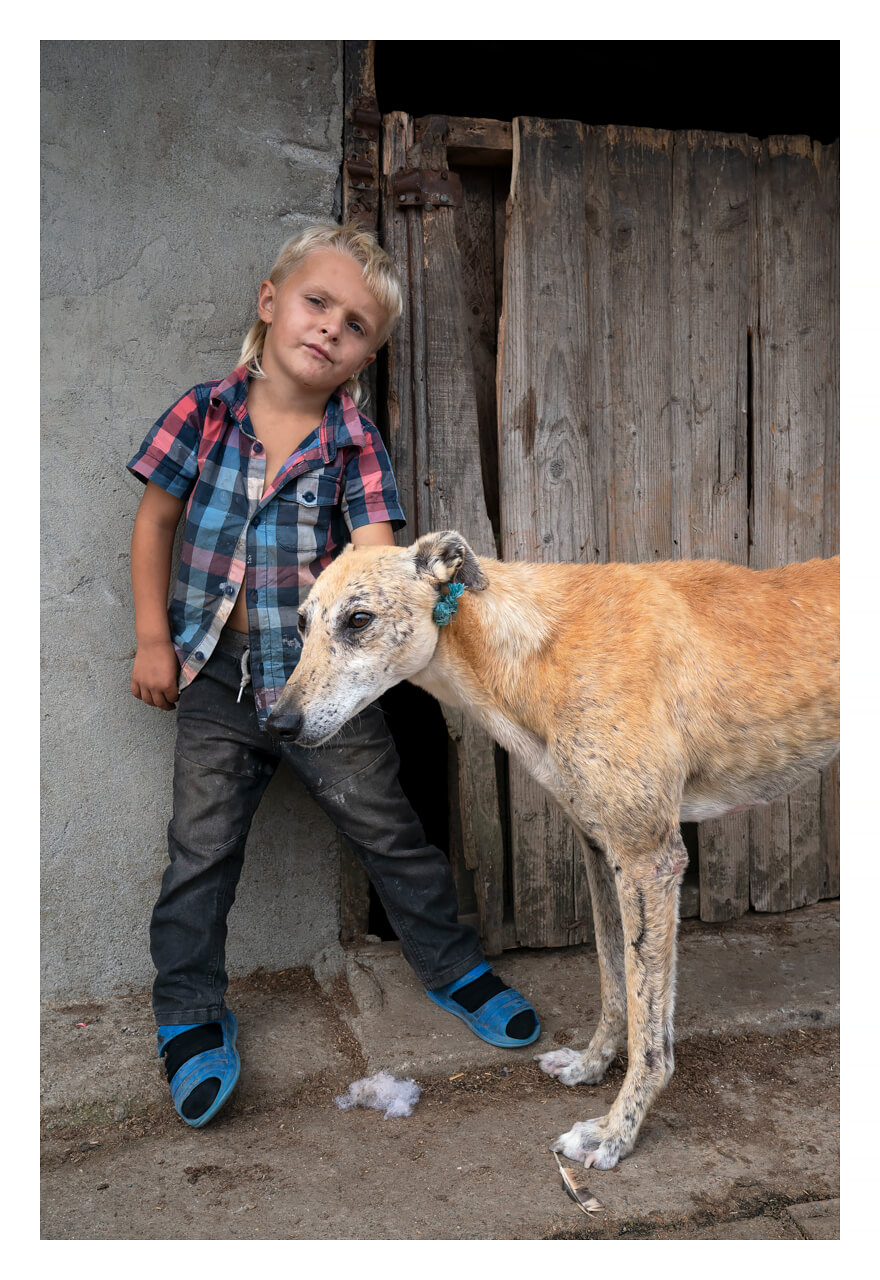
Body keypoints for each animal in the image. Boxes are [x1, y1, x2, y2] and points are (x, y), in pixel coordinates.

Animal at [268, 529, 839, 1172]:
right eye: (300, 622)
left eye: (358, 619)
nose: (275, 723)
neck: (539, 646)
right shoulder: (600, 848)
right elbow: (616, 984)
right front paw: (591, 1065)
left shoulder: (649, 857)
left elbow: (650, 1031)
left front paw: (614, 1132)